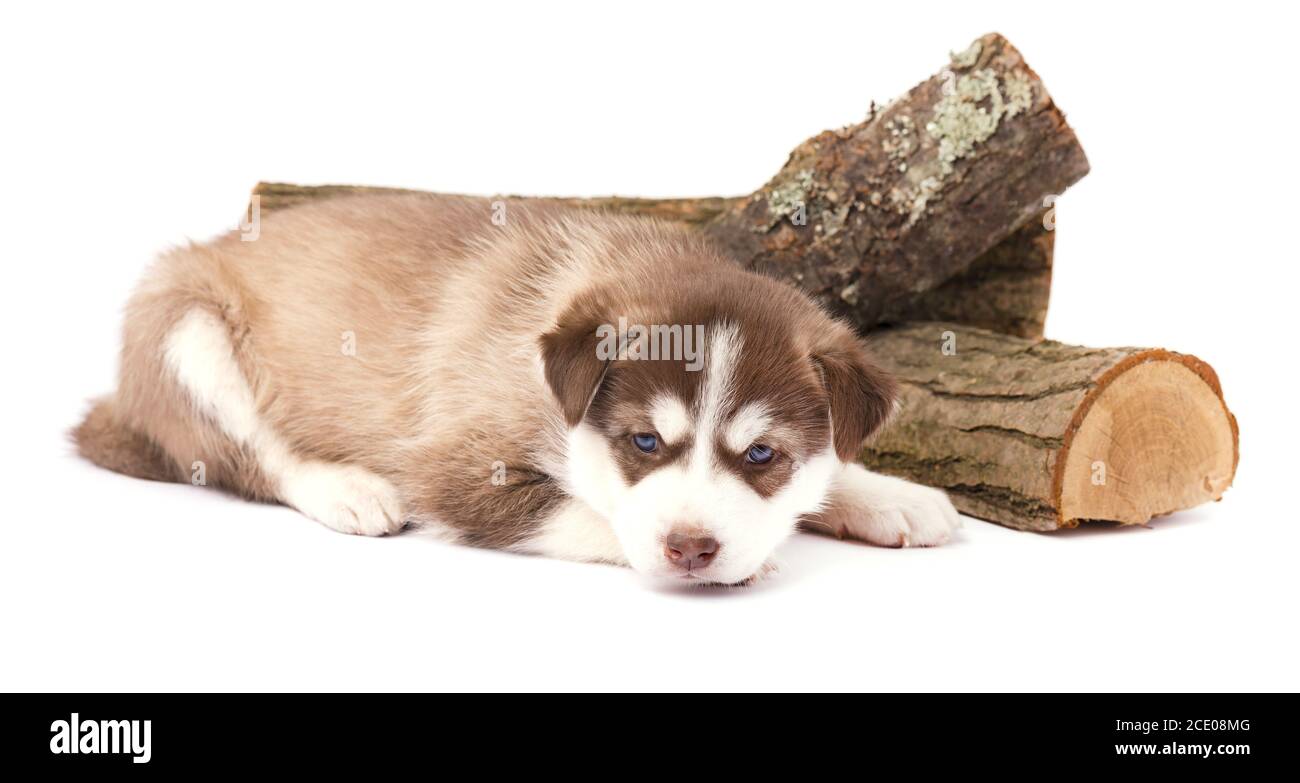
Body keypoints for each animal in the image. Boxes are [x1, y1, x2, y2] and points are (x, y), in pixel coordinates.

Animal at [76, 192, 961, 582]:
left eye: (764, 455)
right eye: (645, 441)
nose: (692, 549)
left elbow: (830, 465)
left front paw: (886, 494)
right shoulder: (456, 467)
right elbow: (591, 514)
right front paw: (749, 554)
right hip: (185, 326)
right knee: (250, 454)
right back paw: (343, 487)